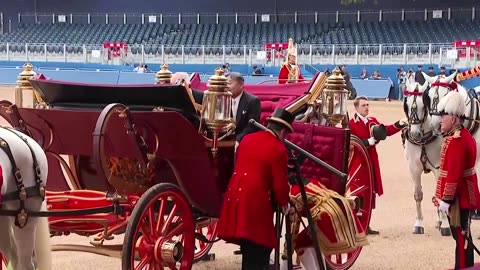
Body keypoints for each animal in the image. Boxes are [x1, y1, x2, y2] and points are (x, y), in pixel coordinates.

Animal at [404, 80, 452, 236]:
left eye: (422, 106)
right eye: (407, 105)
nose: (415, 134)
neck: (423, 142)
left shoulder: (439, 169)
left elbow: (440, 195)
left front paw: (445, 225)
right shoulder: (414, 169)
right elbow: (418, 195)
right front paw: (419, 224)